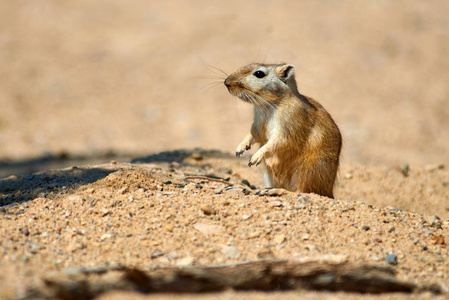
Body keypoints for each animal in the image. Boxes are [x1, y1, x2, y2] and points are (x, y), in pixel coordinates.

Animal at [224, 62, 340, 199]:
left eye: (259, 73)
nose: (226, 82)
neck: (269, 105)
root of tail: (329, 192)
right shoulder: (257, 126)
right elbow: (250, 136)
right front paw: (240, 149)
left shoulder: (287, 130)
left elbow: (274, 144)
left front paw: (255, 158)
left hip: (305, 172)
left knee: (299, 192)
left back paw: (271, 191)